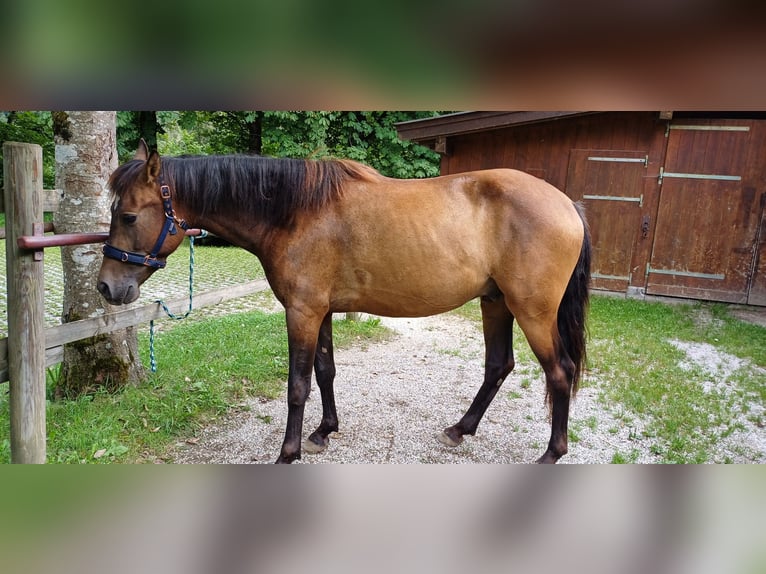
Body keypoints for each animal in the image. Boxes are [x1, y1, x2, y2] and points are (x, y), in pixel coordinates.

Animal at [97, 142, 592, 466]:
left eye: (129, 216)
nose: (106, 287)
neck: (295, 212)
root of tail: (567, 204)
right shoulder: (322, 311)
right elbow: (325, 371)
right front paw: (323, 432)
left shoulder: (302, 312)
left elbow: (297, 385)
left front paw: (288, 453)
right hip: (495, 302)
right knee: (498, 365)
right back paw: (460, 429)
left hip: (532, 312)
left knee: (559, 372)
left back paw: (551, 454)